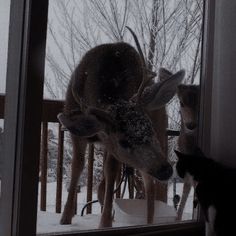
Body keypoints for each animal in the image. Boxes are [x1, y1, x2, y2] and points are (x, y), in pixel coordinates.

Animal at [57, 28, 184, 228]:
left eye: (149, 128)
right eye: (123, 142)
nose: (165, 170)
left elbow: (111, 171)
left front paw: (104, 222)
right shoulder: (79, 133)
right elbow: (78, 165)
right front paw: (65, 218)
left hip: (159, 135)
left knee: (148, 184)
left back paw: (148, 222)